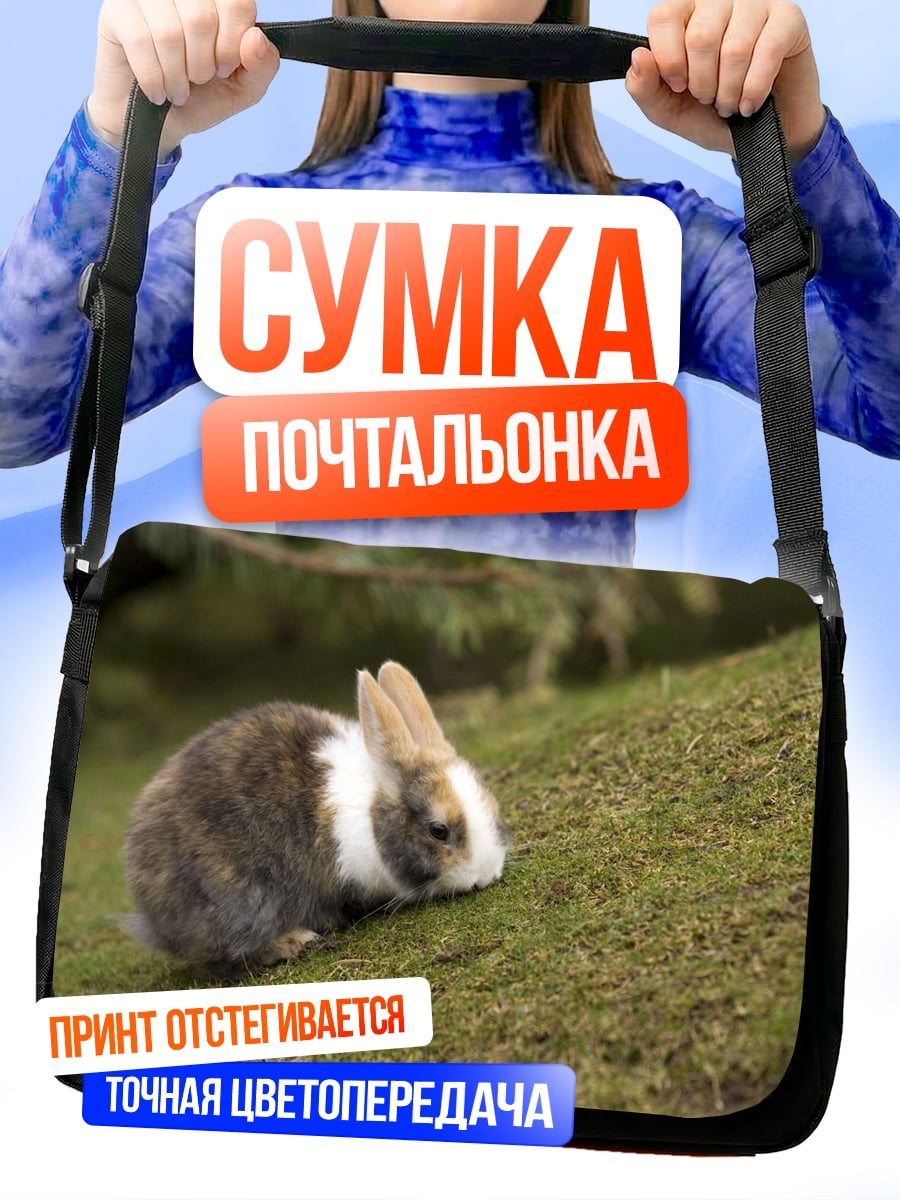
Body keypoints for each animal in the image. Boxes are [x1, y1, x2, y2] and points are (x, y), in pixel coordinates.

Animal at [124, 661, 510, 977]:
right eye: (438, 830)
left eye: (493, 806)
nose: (485, 876)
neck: (371, 814)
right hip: (237, 901)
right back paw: (294, 941)